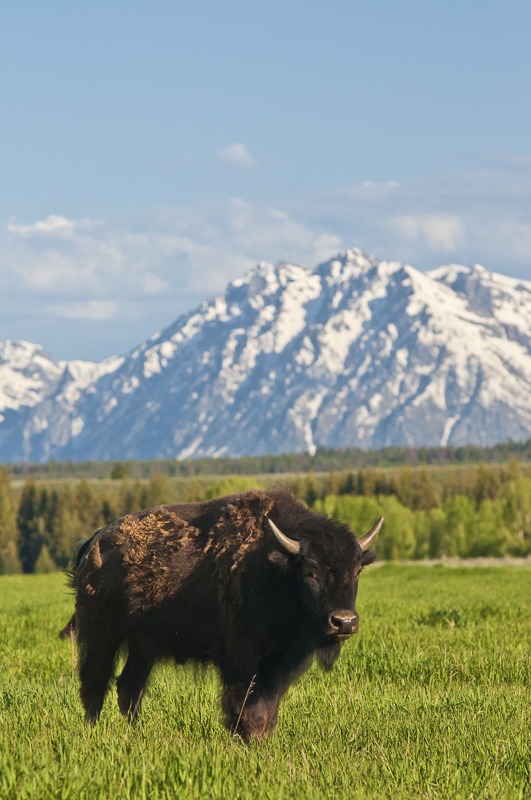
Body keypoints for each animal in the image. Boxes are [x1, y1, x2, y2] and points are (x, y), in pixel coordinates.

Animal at [70, 489, 382, 741]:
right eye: (310, 571)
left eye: (357, 570)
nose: (344, 621)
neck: (276, 568)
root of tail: (95, 541)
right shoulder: (242, 657)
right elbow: (243, 703)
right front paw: (247, 739)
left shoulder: (277, 663)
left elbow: (267, 706)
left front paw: (262, 739)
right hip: (102, 634)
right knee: (95, 681)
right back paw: (92, 731)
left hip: (144, 645)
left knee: (129, 686)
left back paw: (135, 733)